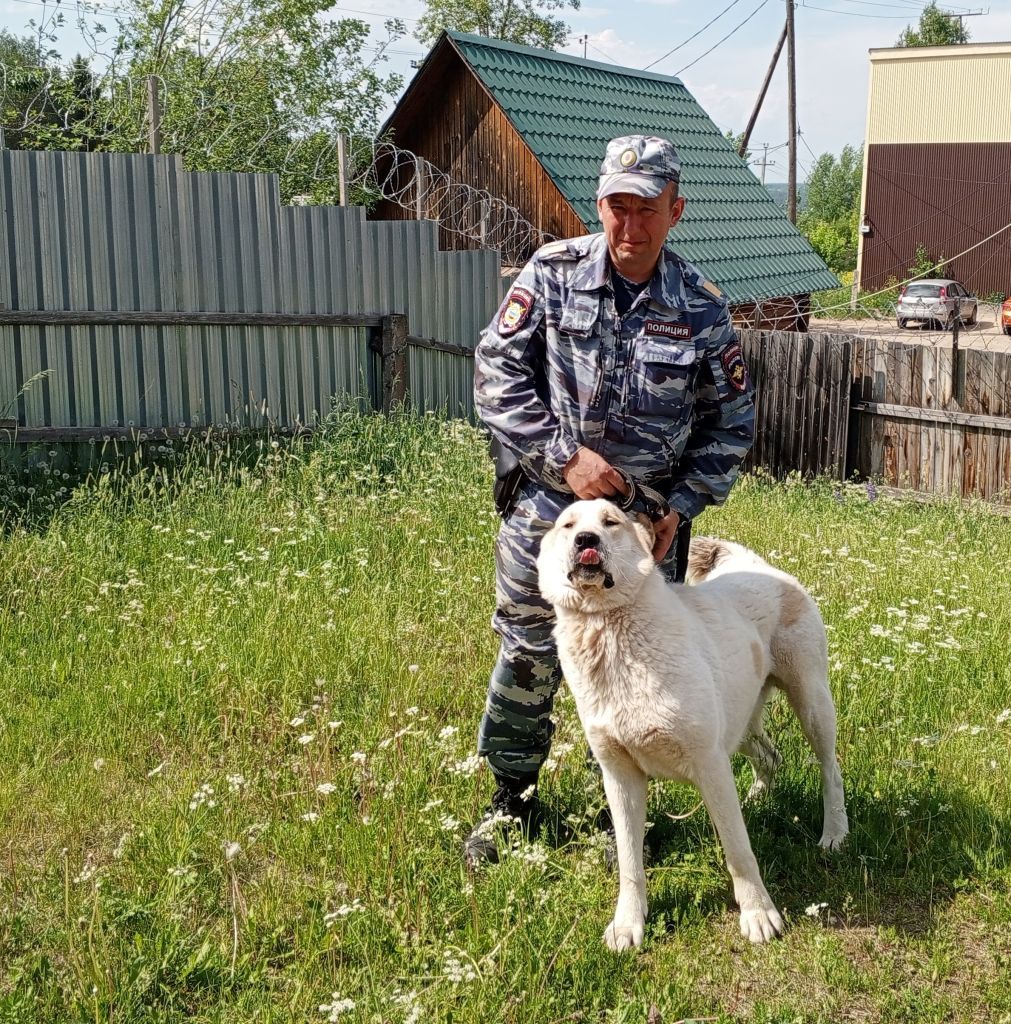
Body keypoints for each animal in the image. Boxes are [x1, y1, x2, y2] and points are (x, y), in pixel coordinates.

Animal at [536, 499, 844, 954]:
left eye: (611, 522)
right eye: (567, 525)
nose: (585, 540)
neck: (610, 633)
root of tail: (758, 565)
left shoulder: (709, 763)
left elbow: (738, 850)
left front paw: (759, 916)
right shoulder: (620, 775)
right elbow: (630, 862)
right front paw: (628, 924)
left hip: (811, 703)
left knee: (830, 770)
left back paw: (834, 834)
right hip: (739, 723)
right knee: (770, 756)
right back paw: (757, 797)